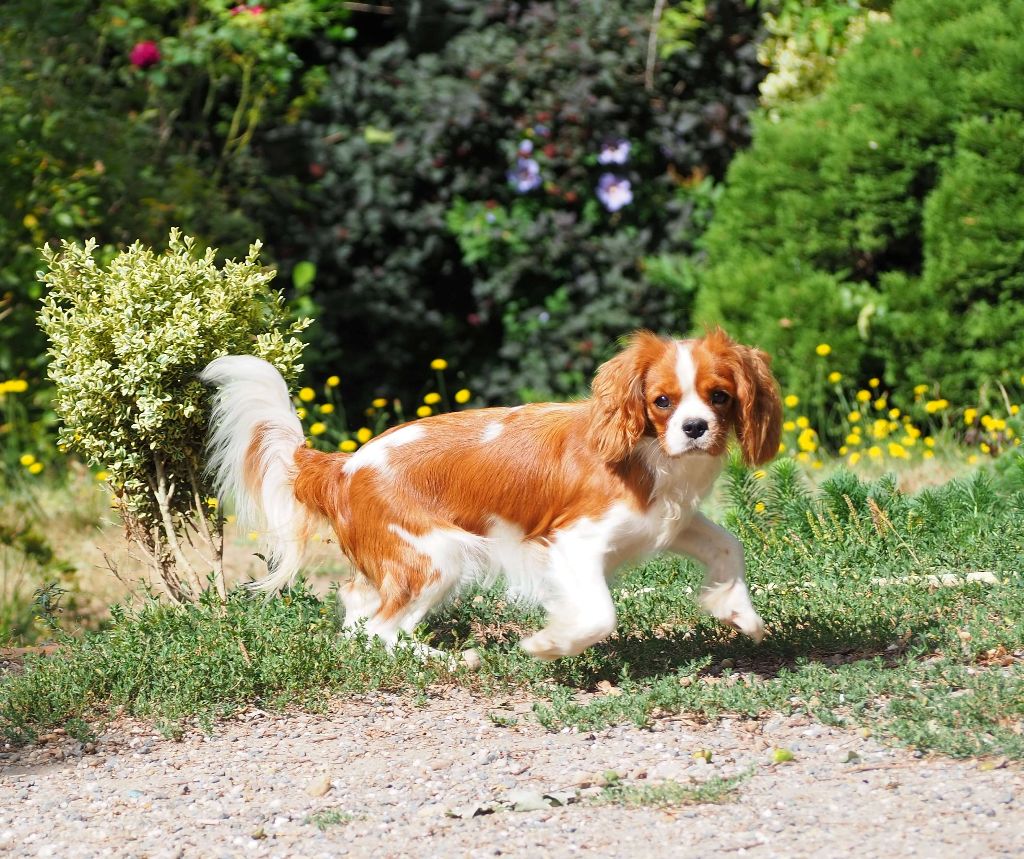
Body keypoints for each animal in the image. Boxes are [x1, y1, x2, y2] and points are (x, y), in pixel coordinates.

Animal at [203, 329, 786, 659]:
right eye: (662, 401)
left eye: (719, 397)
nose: (695, 428)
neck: (649, 454)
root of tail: (344, 465)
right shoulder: (573, 543)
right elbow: (601, 614)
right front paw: (551, 644)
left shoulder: (664, 521)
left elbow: (728, 544)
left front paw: (737, 611)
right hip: (437, 558)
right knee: (381, 630)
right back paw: (448, 661)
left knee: (358, 613)